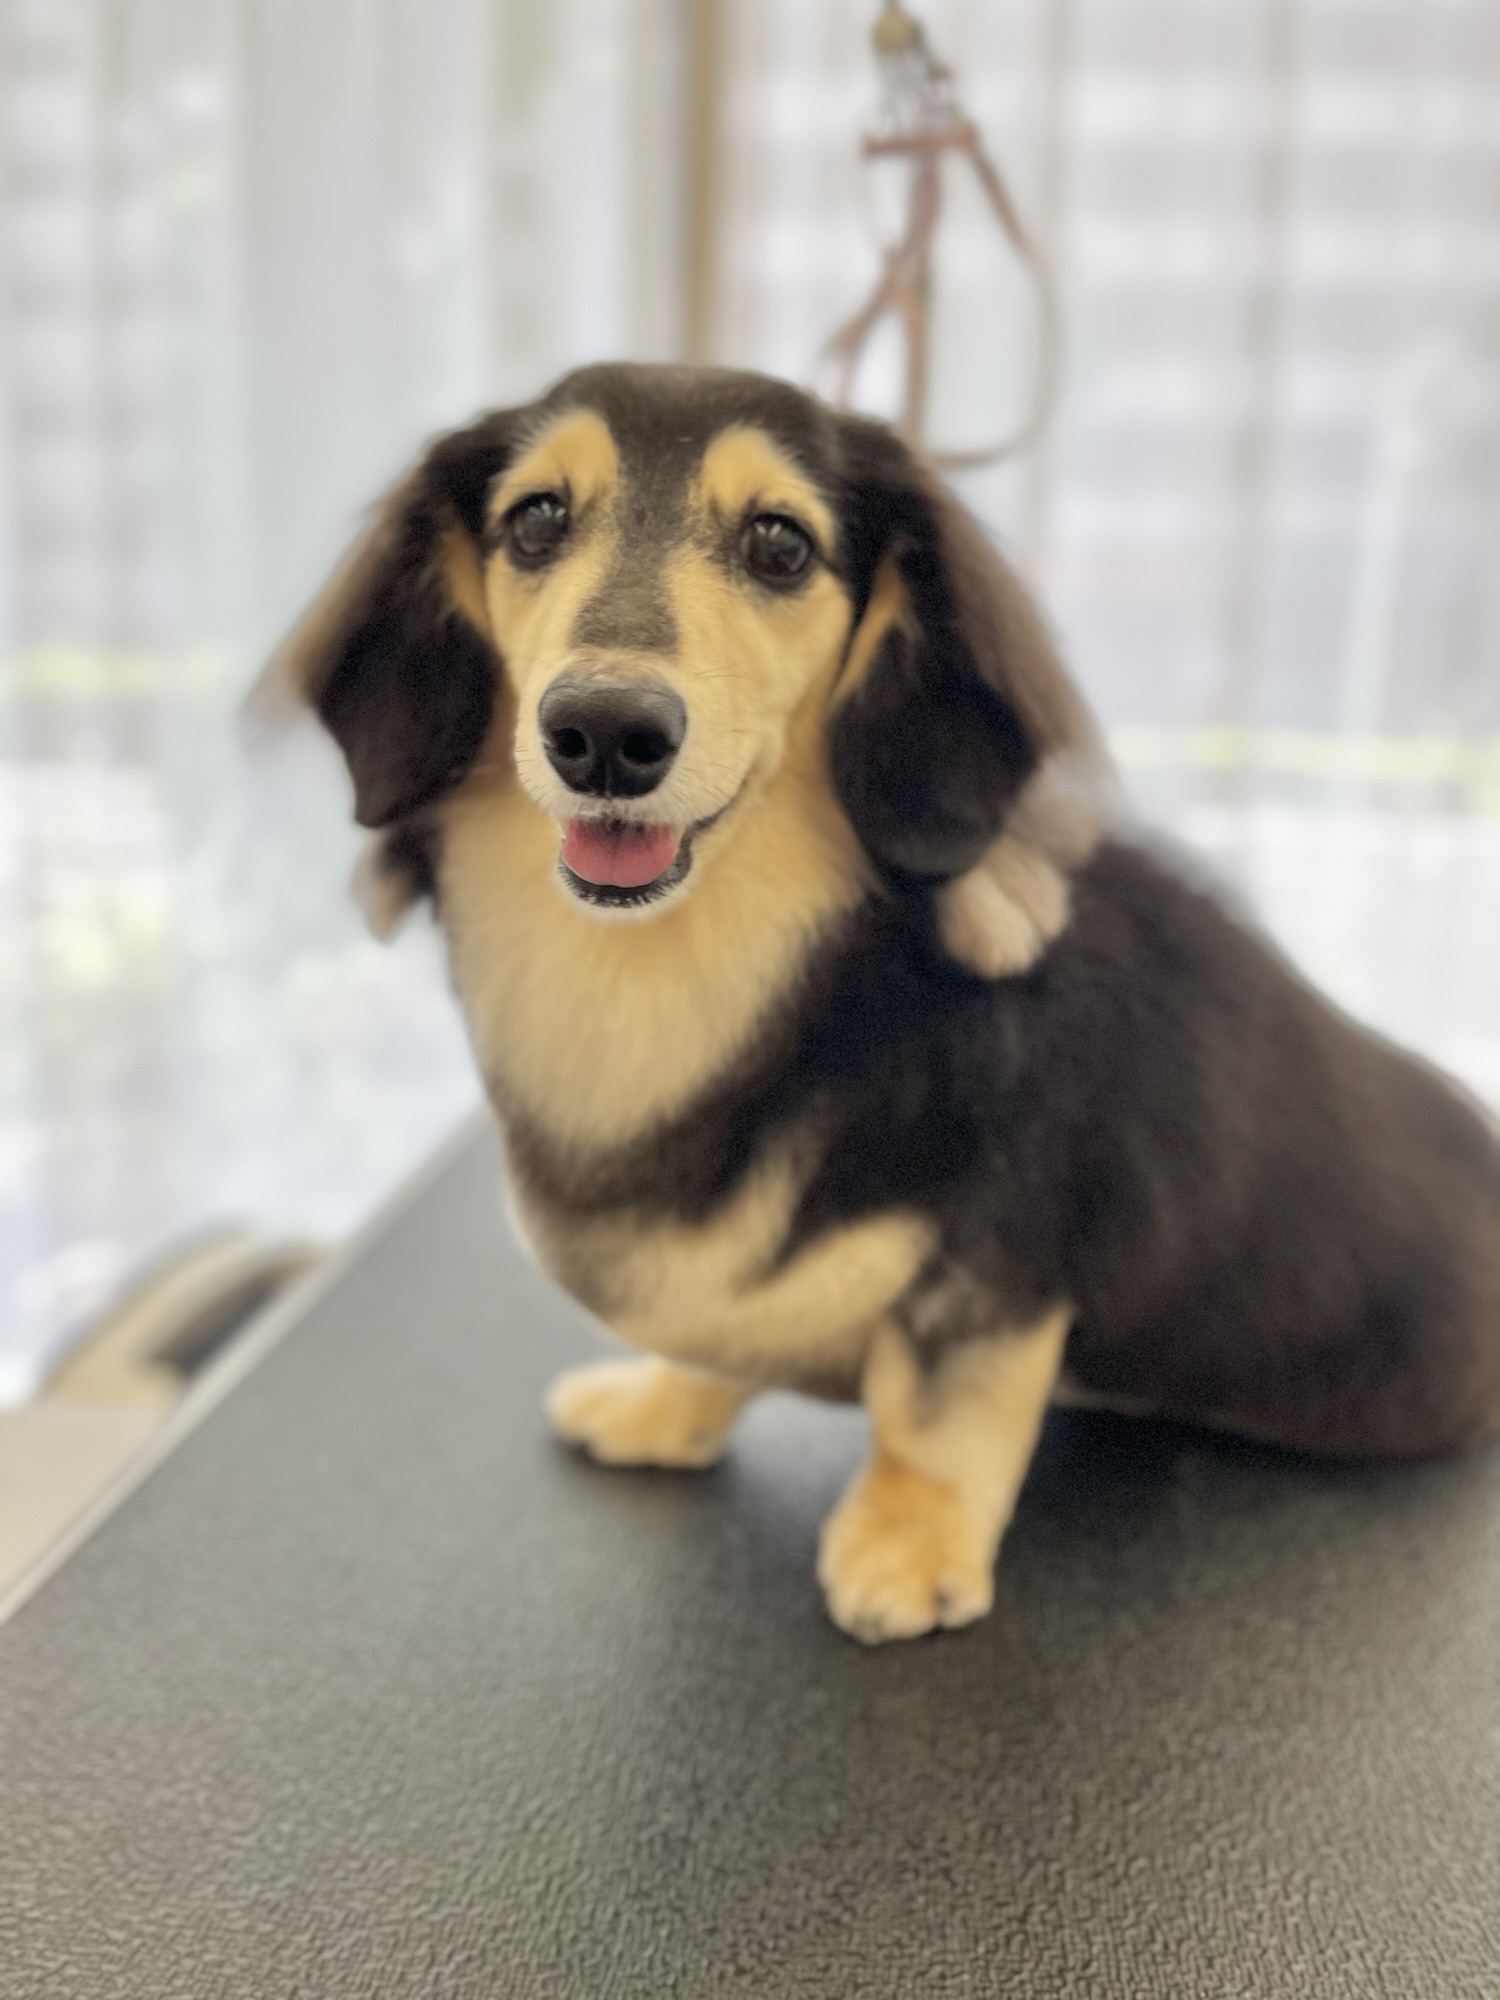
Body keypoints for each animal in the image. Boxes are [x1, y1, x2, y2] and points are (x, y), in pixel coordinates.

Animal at [269, 362, 1500, 1644]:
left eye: (779, 542)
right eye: (535, 520)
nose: (605, 732)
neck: (688, 971)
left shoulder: (999, 1266)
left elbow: (936, 1410)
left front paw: (910, 1540)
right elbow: (720, 1340)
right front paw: (663, 1406)